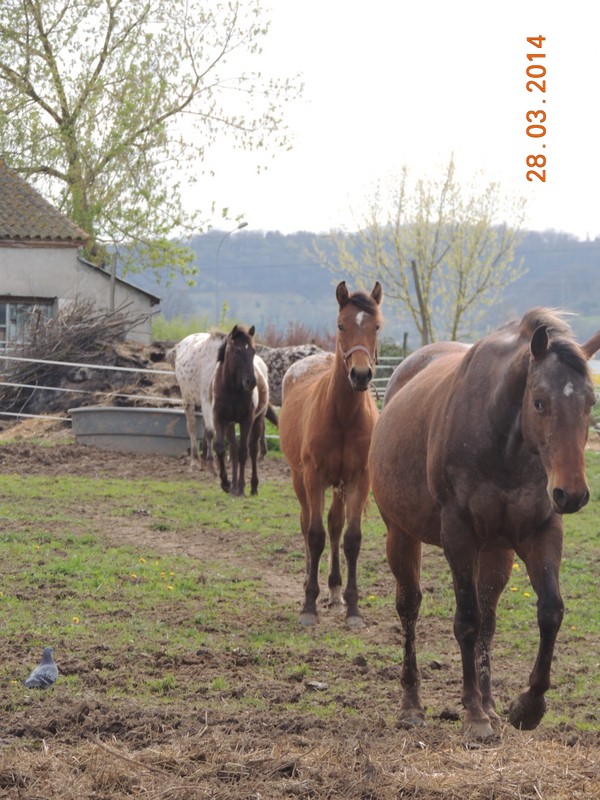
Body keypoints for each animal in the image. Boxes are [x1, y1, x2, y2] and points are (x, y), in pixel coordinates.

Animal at [209, 324, 274, 494]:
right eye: (237, 351)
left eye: (253, 351)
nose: (251, 382)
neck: (232, 390)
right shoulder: (219, 417)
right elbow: (221, 447)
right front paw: (225, 483)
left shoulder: (247, 419)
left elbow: (244, 452)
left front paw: (242, 487)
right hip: (230, 424)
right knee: (233, 449)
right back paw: (233, 486)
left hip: (258, 421)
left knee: (252, 450)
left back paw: (252, 487)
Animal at [278, 284, 382, 628]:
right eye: (341, 325)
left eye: (377, 326)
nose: (360, 375)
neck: (344, 416)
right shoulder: (314, 477)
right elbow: (315, 535)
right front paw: (308, 605)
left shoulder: (359, 479)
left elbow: (351, 538)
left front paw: (353, 609)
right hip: (300, 479)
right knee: (306, 523)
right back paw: (308, 583)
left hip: (339, 486)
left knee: (335, 526)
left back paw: (335, 592)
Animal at [370, 310, 600, 740]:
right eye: (539, 402)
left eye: (590, 402)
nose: (572, 494)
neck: (505, 445)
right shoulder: (458, 536)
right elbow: (466, 620)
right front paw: (474, 715)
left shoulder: (541, 534)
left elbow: (549, 611)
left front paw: (527, 706)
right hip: (401, 536)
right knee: (410, 608)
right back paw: (413, 704)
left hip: (496, 551)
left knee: (490, 619)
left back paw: (491, 703)